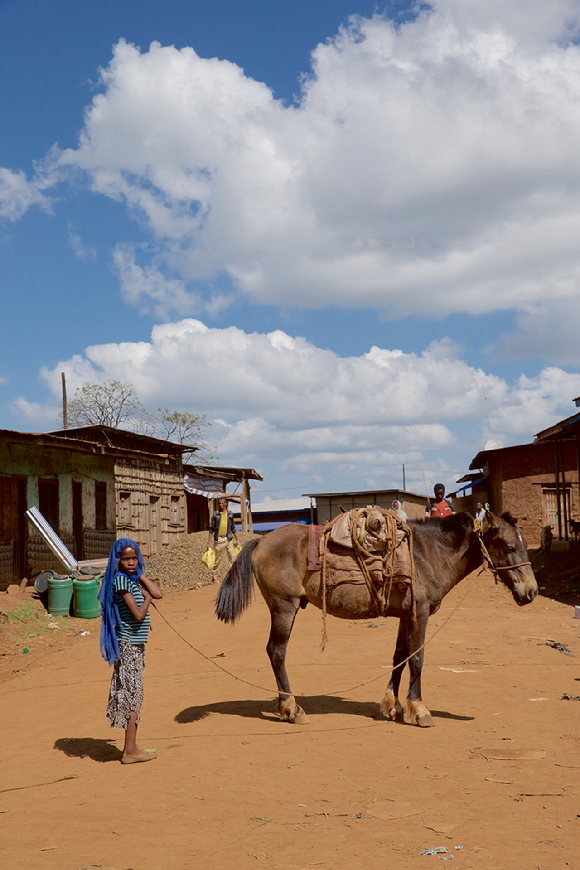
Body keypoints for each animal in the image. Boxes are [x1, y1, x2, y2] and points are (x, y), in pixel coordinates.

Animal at [215, 510, 536, 728]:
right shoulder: (420, 613)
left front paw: (392, 706)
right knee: (276, 652)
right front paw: (419, 710)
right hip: (284, 608)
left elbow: (399, 656)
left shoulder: (407, 615)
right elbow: (417, 658)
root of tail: (261, 541)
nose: (532, 591)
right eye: (509, 546)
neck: (429, 553)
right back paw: (291, 708)